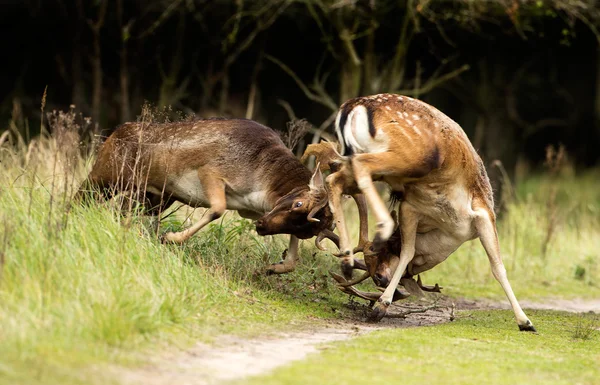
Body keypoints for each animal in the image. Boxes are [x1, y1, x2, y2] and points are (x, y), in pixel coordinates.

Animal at [77, 117, 332, 272]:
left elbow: (293, 257)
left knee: (123, 210)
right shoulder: (210, 172)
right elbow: (217, 209)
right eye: (298, 203)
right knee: (80, 196)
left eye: (308, 230)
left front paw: (273, 267)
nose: (261, 226)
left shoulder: (250, 209)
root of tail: (113, 133)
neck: (263, 183)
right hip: (105, 175)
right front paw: (169, 238)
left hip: (154, 197)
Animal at [328, 93, 540, 330]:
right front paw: (525, 322)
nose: (379, 279)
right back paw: (382, 228)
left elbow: (409, 252)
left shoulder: (410, 207)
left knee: (334, 179)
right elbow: (498, 267)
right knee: (359, 167)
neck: (451, 231)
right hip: (410, 156)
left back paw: (346, 260)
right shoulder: (484, 211)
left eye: (384, 254)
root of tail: (352, 106)